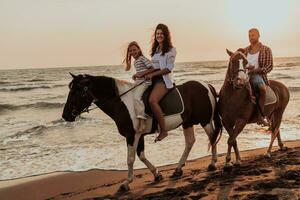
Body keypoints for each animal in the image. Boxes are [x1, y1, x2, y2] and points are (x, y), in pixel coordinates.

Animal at [62, 73, 221, 191]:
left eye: (74, 92)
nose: (65, 116)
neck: (122, 103)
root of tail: (206, 85)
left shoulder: (132, 135)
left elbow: (130, 158)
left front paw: (126, 183)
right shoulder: (139, 135)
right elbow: (141, 155)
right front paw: (157, 175)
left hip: (205, 120)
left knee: (212, 137)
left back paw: (212, 164)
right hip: (187, 123)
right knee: (190, 142)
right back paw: (177, 169)